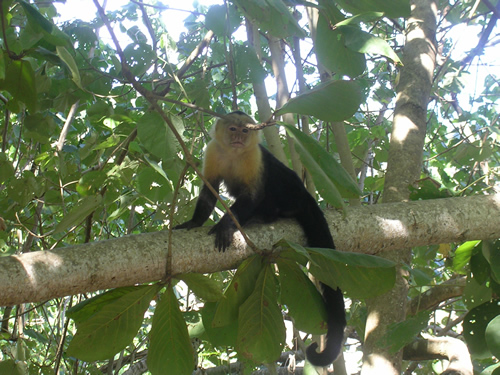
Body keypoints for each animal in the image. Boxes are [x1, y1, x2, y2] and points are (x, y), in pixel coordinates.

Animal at [175, 111, 344, 368]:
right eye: (233, 129)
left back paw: (263, 216)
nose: (238, 138)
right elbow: (209, 190)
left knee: (274, 178)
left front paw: (225, 225)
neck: (234, 153)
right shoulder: (213, 150)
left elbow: (252, 195)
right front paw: (194, 222)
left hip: (291, 193)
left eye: (245, 131)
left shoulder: (255, 156)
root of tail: (305, 195)